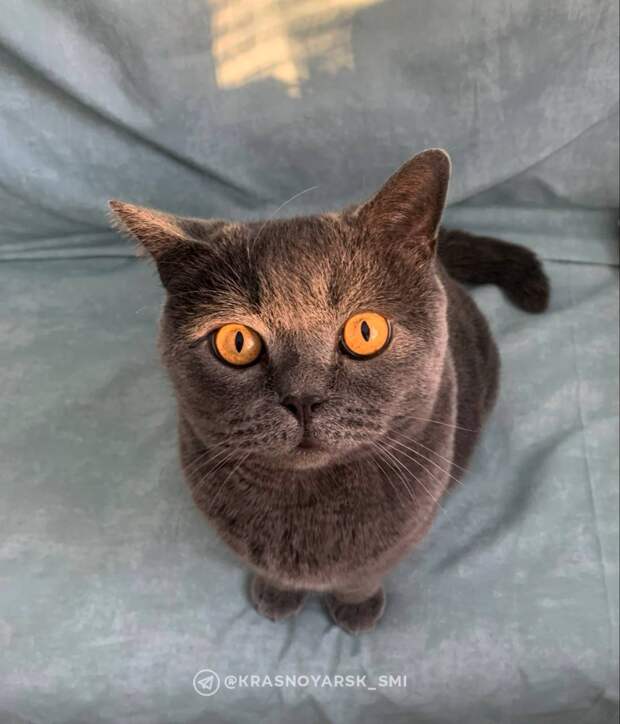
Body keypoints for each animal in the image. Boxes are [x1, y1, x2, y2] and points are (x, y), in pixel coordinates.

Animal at [109, 149, 549, 634]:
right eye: (236, 341)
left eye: (365, 331)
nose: (303, 396)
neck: (311, 506)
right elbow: (270, 570)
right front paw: (276, 596)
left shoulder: (405, 530)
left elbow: (363, 573)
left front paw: (355, 609)